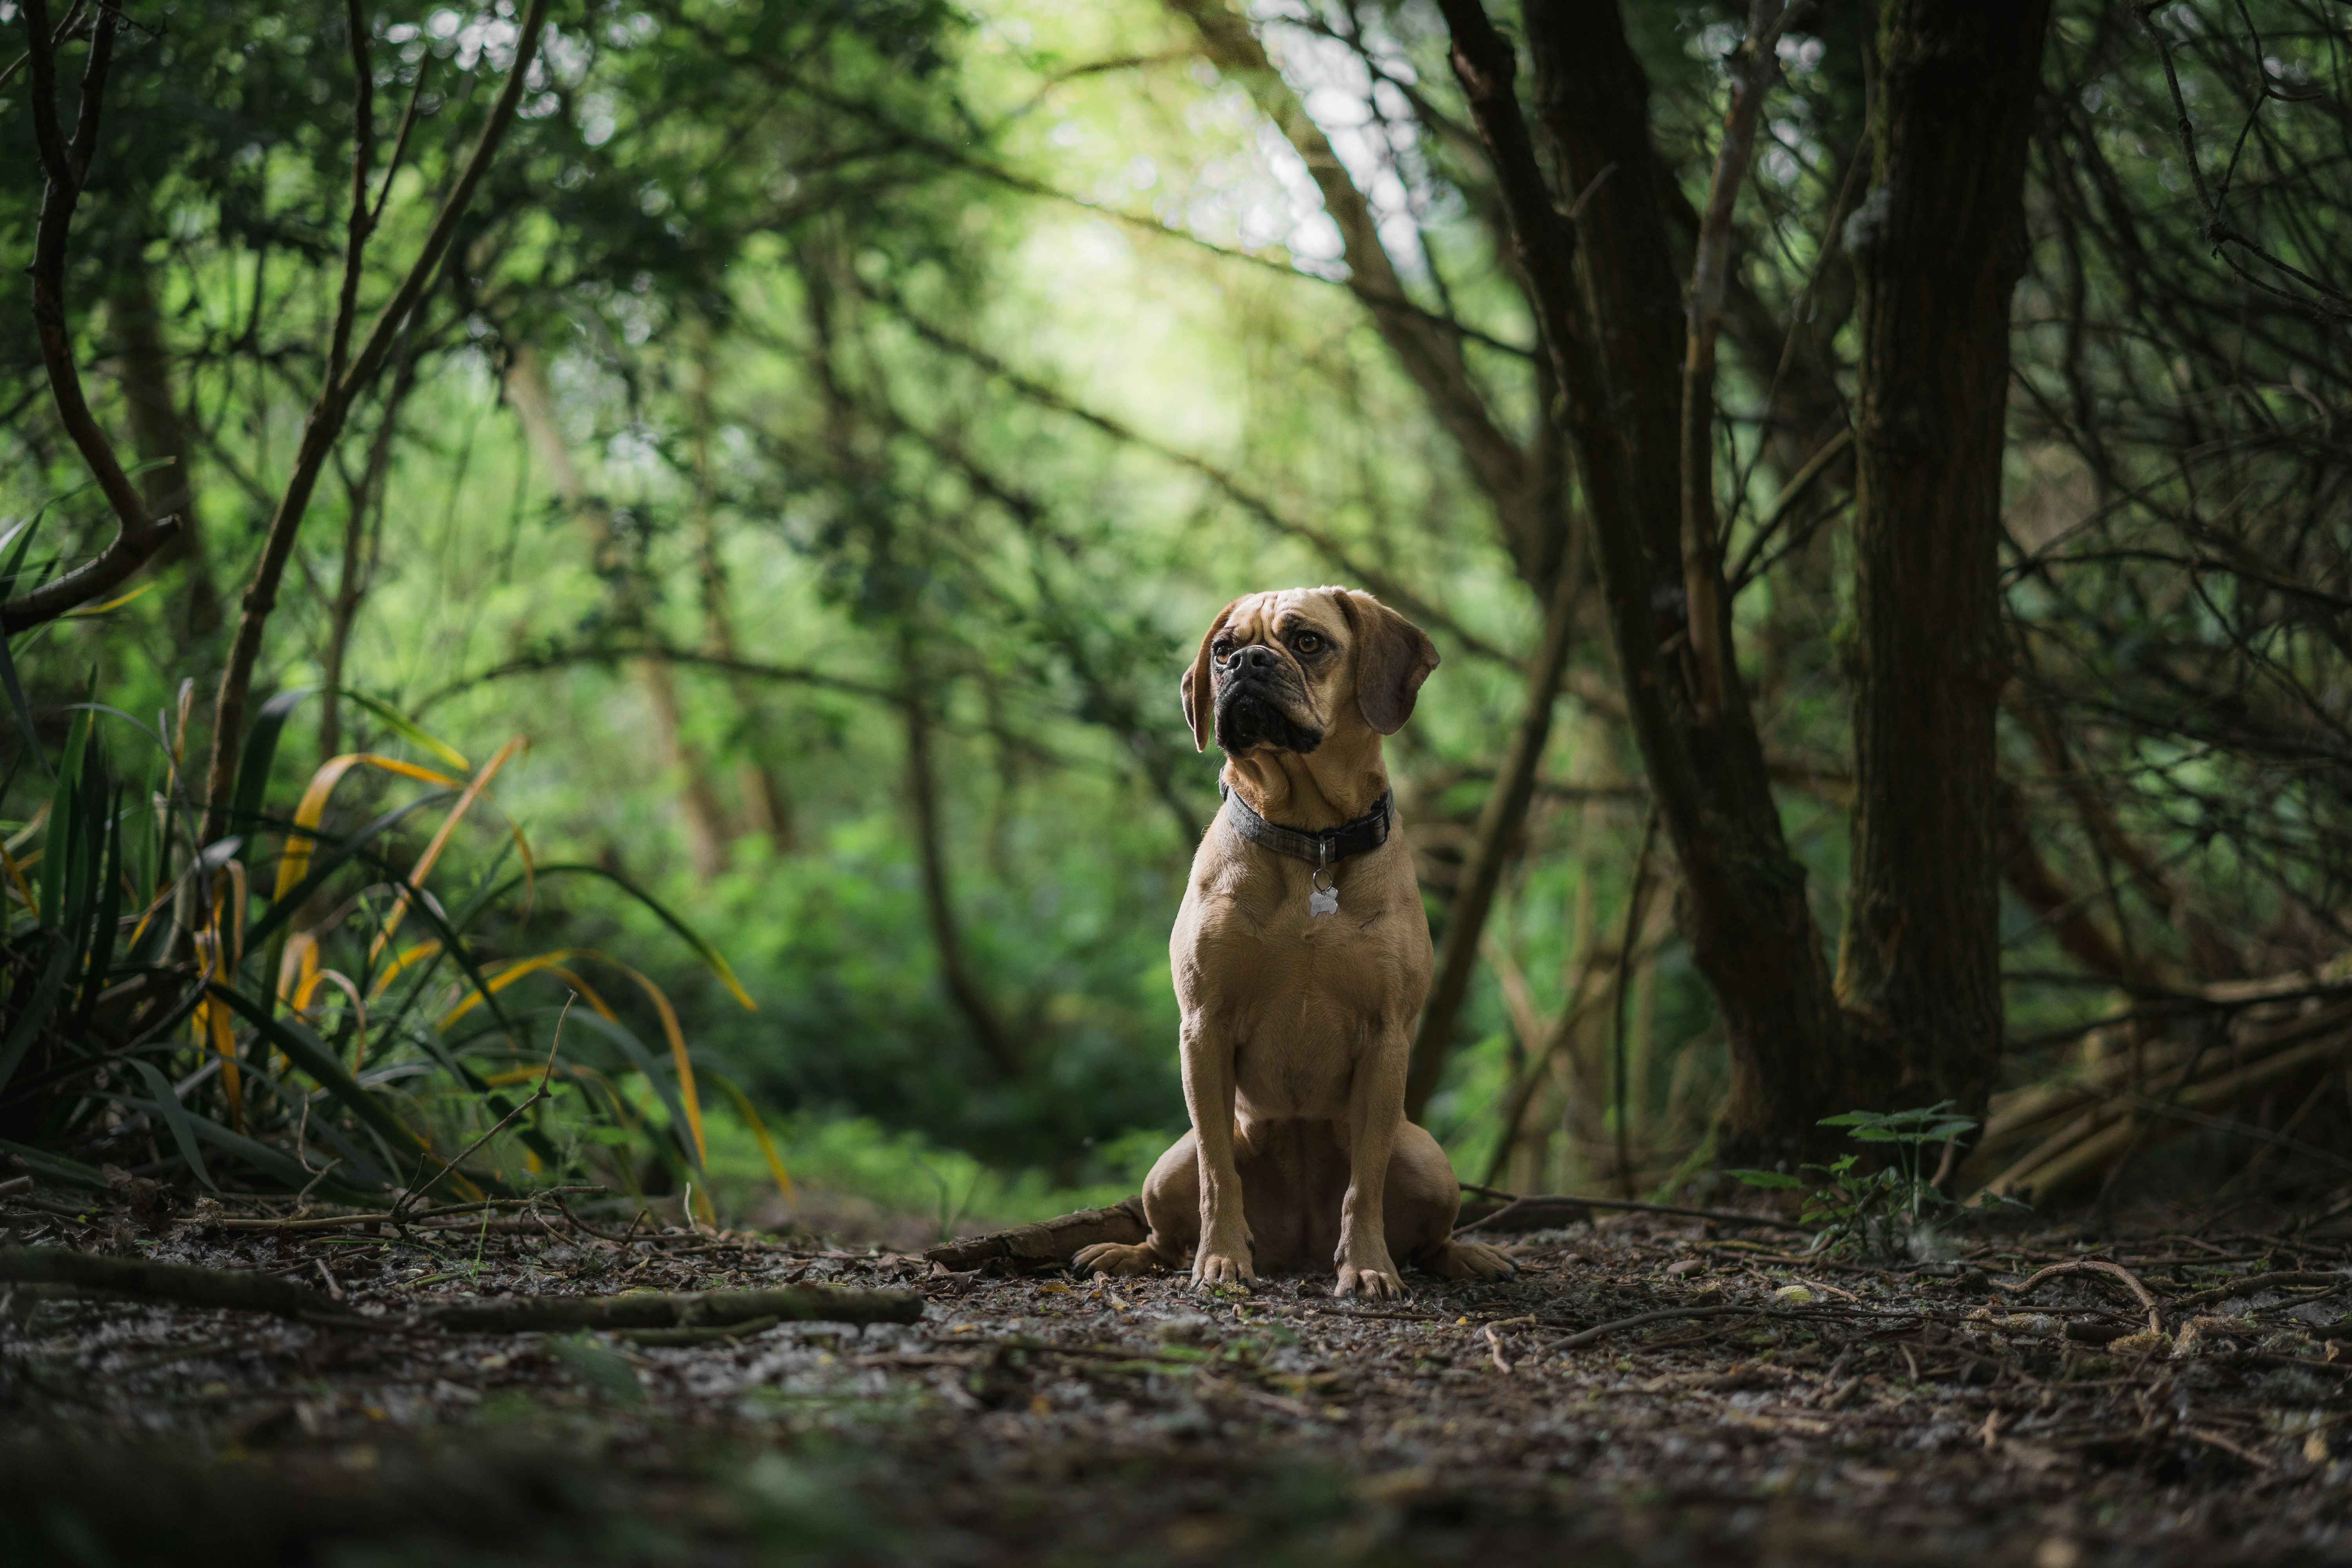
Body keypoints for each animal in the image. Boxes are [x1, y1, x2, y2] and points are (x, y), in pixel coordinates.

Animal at [1077, 588, 1515, 1298]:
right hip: (1167, 1168)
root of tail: (1301, 1241)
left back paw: (1464, 1258)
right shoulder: (1204, 1028)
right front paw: (1222, 1260)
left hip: (1428, 1159)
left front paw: (1368, 1265)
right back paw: (1129, 1253)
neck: (1311, 838)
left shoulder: (1387, 1038)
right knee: (1168, 1230)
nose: (1245, 663)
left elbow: (1365, 1183)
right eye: (1223, 648)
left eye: (1308, 642)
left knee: (1433, 1238)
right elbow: (1218, 1175)